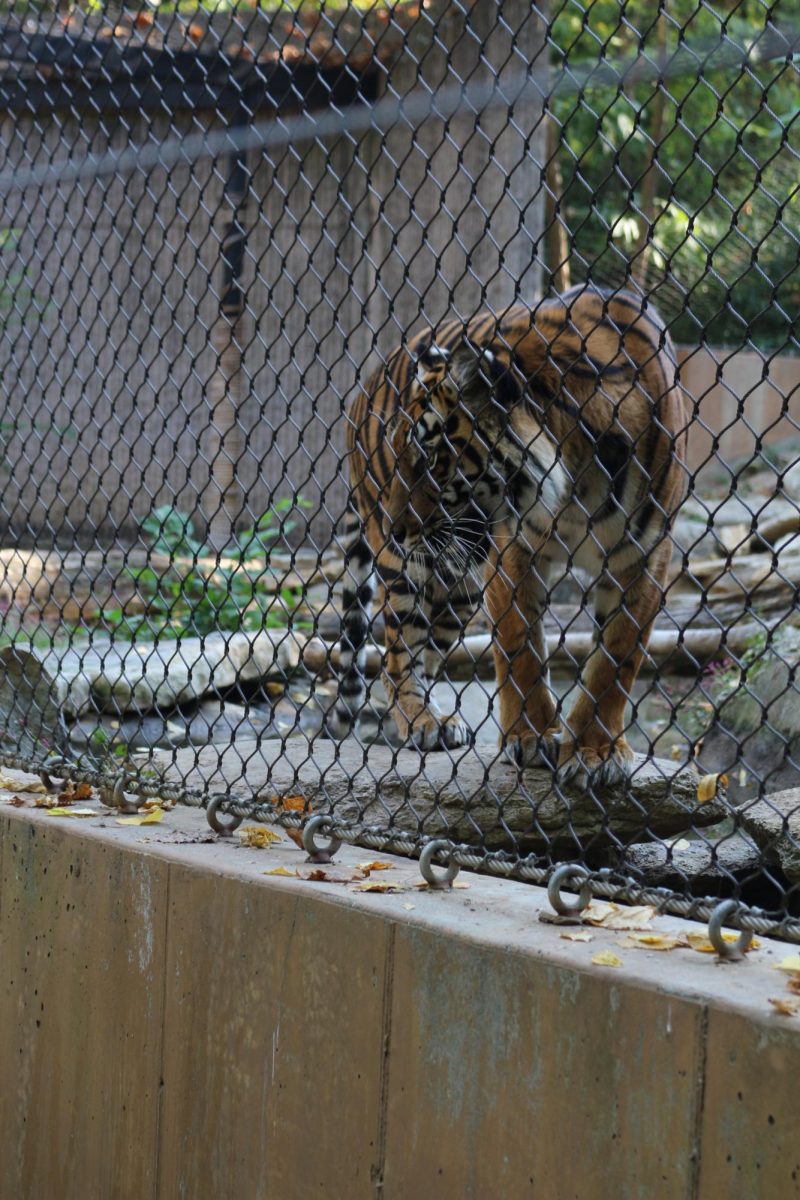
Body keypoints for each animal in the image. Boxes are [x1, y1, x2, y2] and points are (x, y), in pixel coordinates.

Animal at [331, 280, 690, 787]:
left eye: (429, 458)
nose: (393, 527)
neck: (576, 482)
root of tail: (371, 377)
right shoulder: (513, 548)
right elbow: (520, 647)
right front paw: (529, 737)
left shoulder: (643, 555)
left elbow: (615, 659)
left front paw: (595, 751)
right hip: (407, 568)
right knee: (396, 653)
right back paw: (424, 722)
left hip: (458, 586)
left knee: (428, 650)